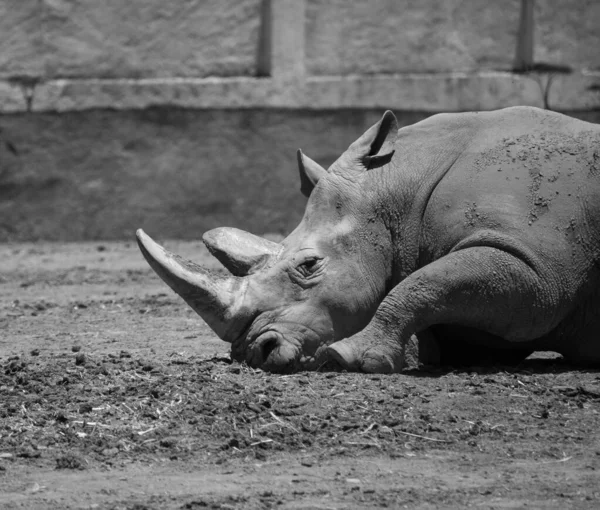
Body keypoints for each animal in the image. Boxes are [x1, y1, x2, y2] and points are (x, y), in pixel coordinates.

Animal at [136, 105, 600, 372]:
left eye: (308, 265)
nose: (255, 352)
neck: (397, 191)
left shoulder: (535, 268)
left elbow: (424, 284)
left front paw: (349, 358)